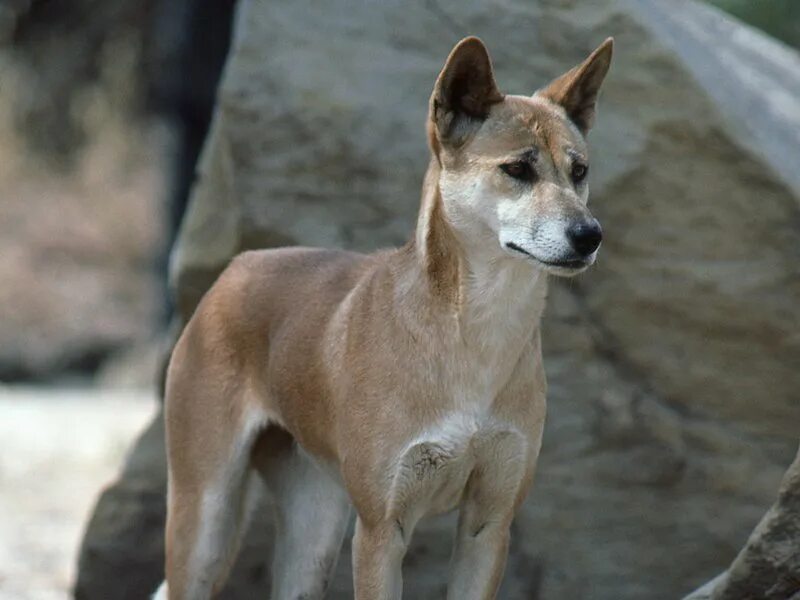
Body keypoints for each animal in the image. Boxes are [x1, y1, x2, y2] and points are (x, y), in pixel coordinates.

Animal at [156, 36, 616, 600]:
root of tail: (236, 267)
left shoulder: (489, 523)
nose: (589, 235)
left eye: (579, 171)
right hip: (206, 519)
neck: (475, 333)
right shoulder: (381, 528)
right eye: (517, 170)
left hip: (313, 527)